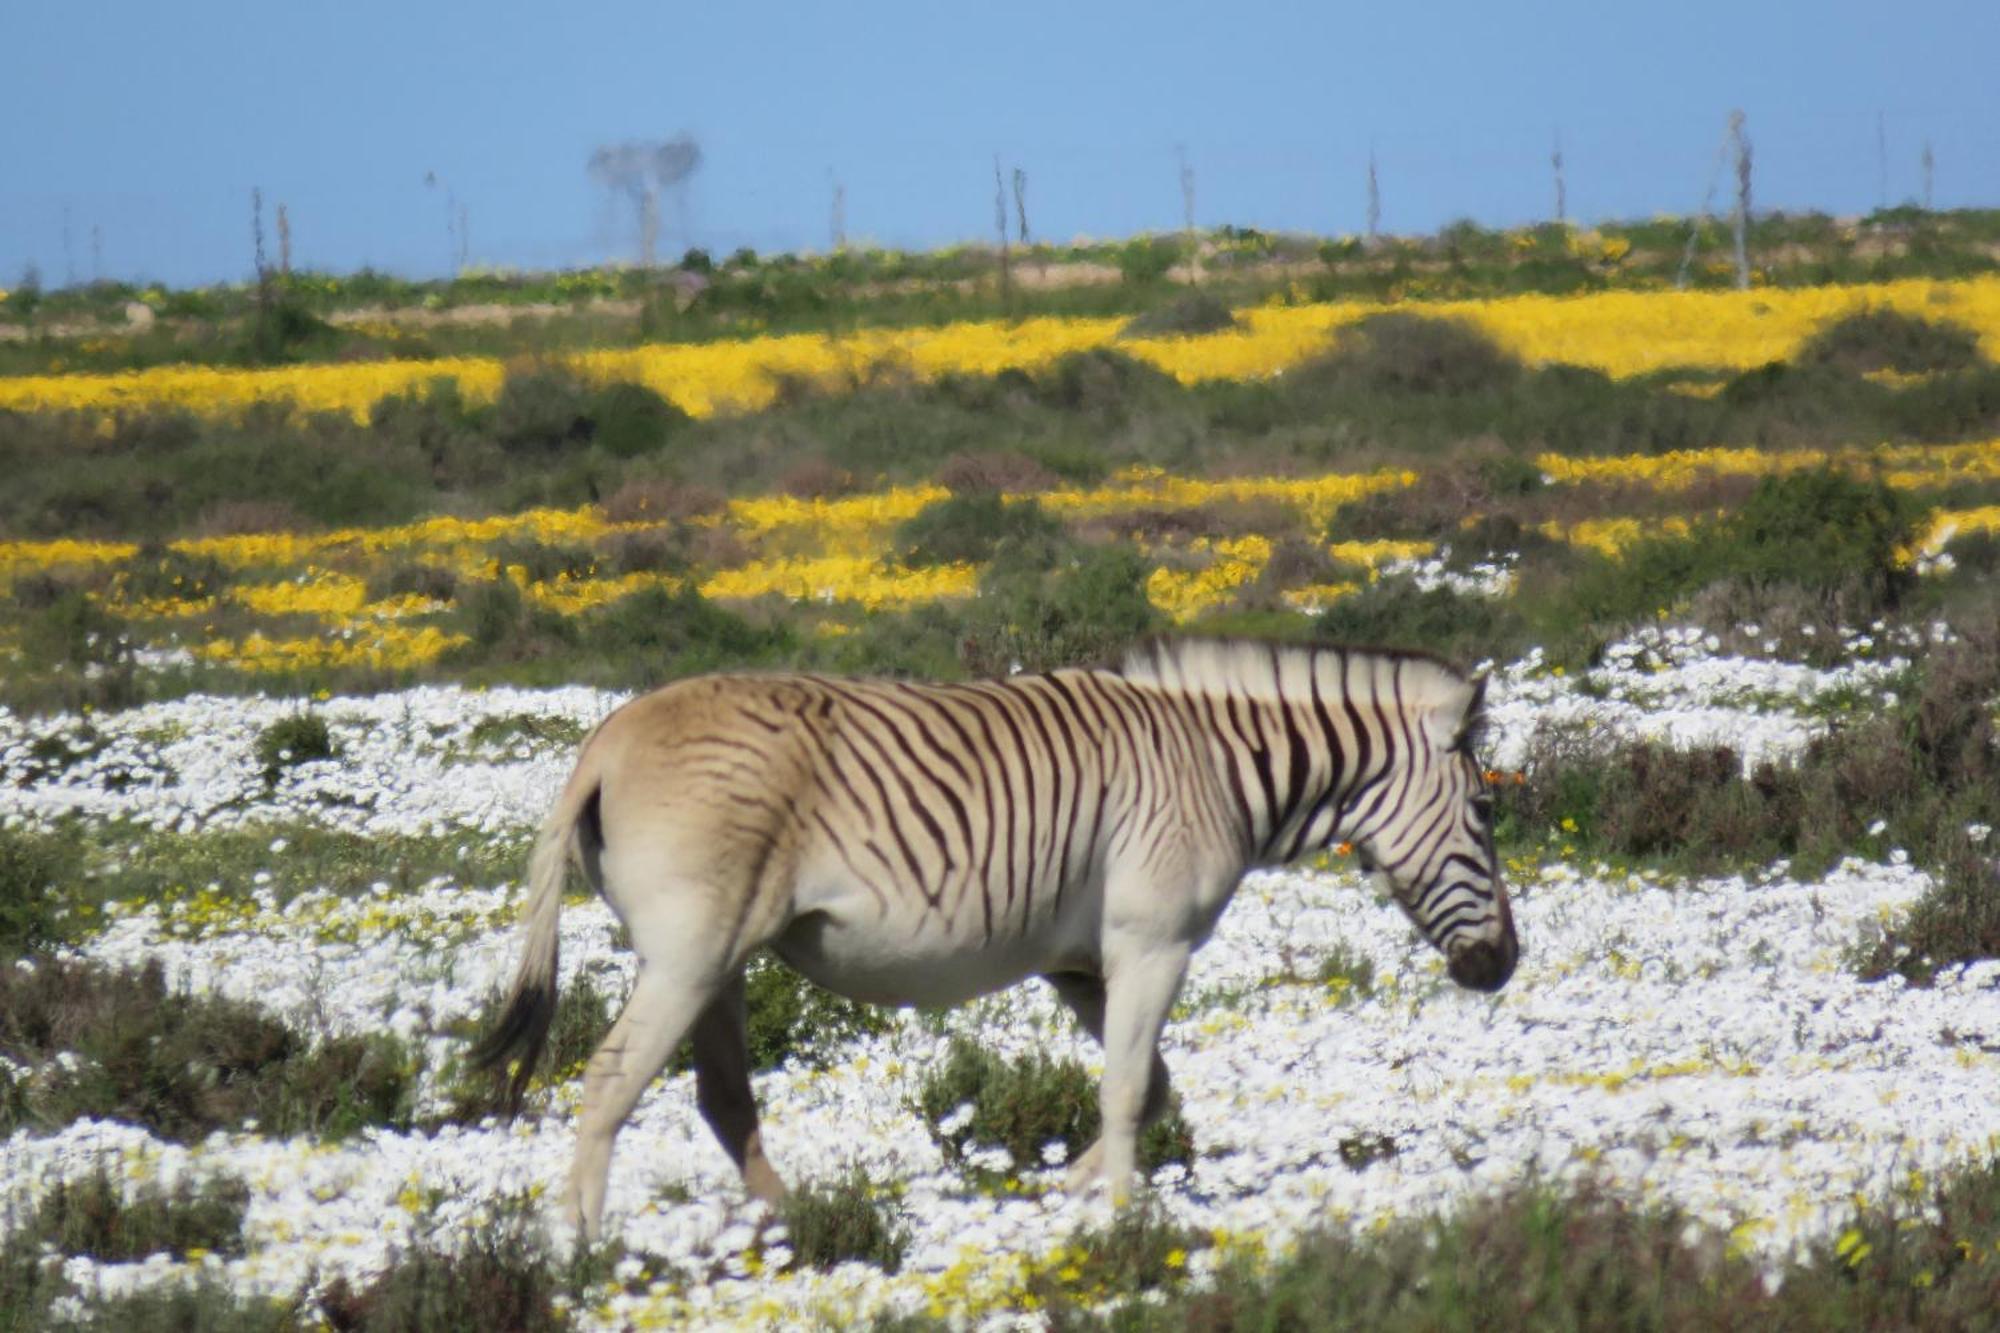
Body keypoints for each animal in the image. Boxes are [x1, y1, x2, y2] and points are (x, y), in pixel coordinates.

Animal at [476, 636, 1520, 1232]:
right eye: (1483, 812)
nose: (1502, 966)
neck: (1215, 768)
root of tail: (605, 741)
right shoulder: (1153, 939)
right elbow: (1131, 1085)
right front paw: (1122, 1220)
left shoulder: (1080, 961)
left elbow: (1148, 1086)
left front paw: (1072, 1190)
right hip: (691, 954)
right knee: (612, 1079)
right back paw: (581, 1249)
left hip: (721, 959)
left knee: (723, 1099)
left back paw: (804, 1228)